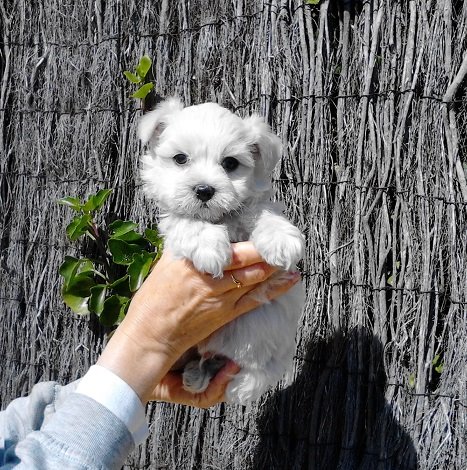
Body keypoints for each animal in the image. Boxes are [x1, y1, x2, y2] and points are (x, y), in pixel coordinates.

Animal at [138, 96, 308, 404]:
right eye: (180, 159)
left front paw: (280, 238)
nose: (204, 190)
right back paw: (197, 374)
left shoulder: (251, 208)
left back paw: (234, 383)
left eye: (230, 163)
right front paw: (209, 246)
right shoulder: (175, 223)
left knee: (266, 369)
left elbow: (260, 210)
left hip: (273, 340)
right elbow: (187, 221)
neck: (220, 219)